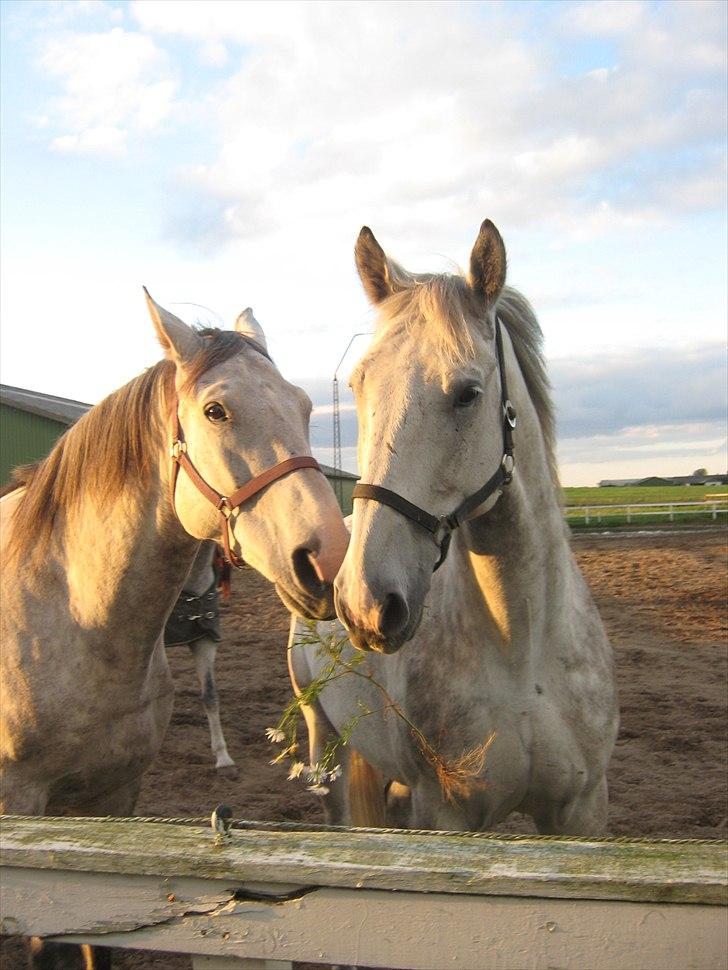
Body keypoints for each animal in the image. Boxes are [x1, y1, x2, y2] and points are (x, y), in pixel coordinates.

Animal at [290, 219, 620, 832]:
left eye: (468, 394)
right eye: (358, 387)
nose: (365, 603)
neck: (522, 654)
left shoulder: (580, 810)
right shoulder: (446, 814)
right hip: (327, 742)